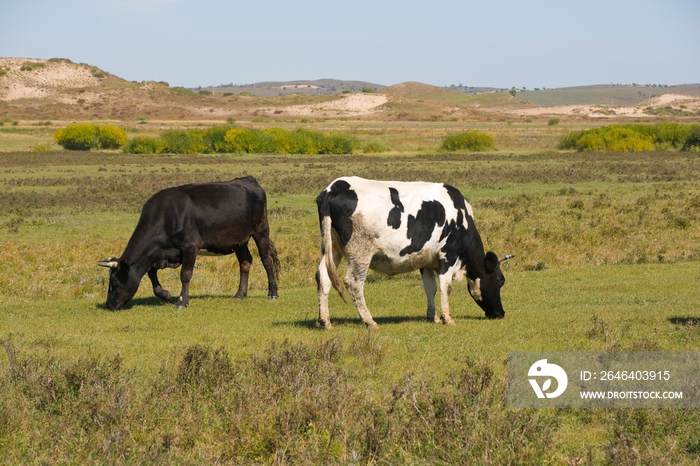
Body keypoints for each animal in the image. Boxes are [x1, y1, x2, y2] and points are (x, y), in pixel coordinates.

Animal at [96, 177, 282, 312]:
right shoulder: (159, 253)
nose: (108, 305)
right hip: (239, 239)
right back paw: (240, 294)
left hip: (261, 230)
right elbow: (151, 274)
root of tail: (248, 180)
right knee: (245, 261)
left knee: (267, 260)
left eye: (114, 282)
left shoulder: (190, 247)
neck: (166, 216)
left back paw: (272, 293)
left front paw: (182, 301)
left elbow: (185, 275)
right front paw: (166, 295)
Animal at [314, 177, 512, 330]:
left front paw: (433, 317)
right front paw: (447, 318)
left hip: (332, 248)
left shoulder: (426, 261)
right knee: (354, 282)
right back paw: (369, 321)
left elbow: (430, 288)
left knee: (323, 277)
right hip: (360, 251)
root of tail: (336, 186)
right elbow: (445, 287)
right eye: (501, 281)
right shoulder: (448, 255)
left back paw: (325, 321)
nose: (501, 313)